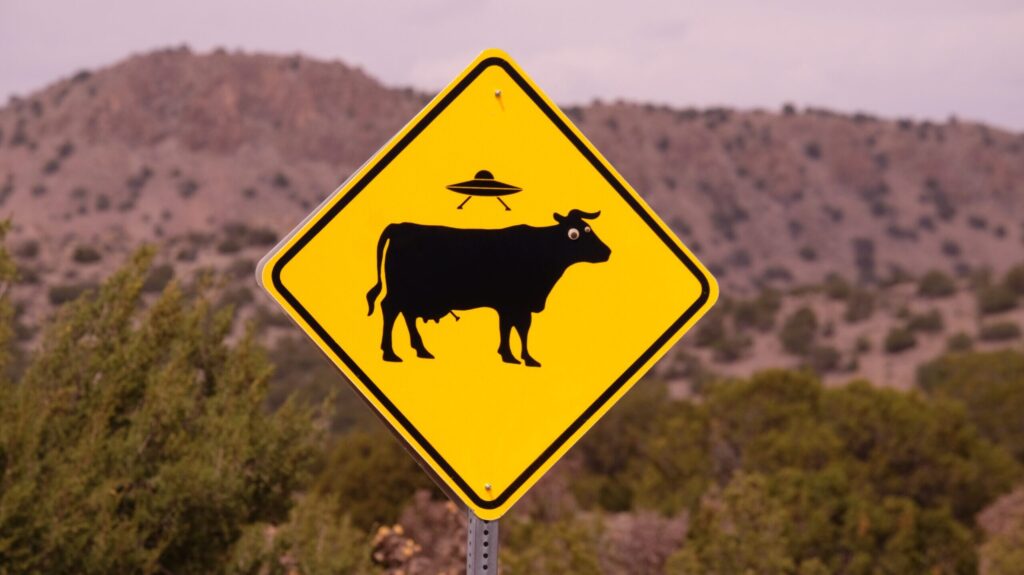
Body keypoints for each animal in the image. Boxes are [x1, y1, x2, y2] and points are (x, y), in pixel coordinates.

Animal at [366, 209, 611, 366]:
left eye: (589, 229)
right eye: (575, 234)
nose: (607, 251)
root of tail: (400, 226)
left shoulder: (512, 305)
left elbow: (512, 328)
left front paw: (515, 357)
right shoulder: (516, 303)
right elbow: (517, 328)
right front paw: (519, 358)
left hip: (412, 295)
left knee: (406, 315)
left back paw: (422, 350)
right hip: (401, 291)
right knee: (390, 309)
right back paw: (390, 353)